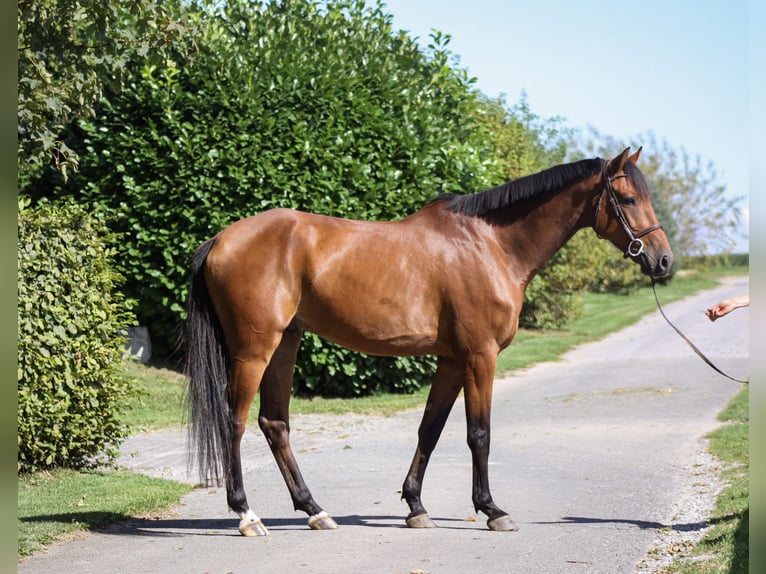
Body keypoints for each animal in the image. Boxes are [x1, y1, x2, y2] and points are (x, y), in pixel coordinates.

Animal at [184, 147, 672, 536]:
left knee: (275, 423)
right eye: (629, 199)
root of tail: (221, 238)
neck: (491, 244)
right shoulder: (480, 357)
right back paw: (247, 515)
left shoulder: (452, 360)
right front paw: (492, 510)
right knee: (234, 422)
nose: (663, 261)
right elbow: (479, 434)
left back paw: (315, 510)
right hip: (254, 349)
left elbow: (430, 429)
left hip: (286, 343)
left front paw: (416, 506)